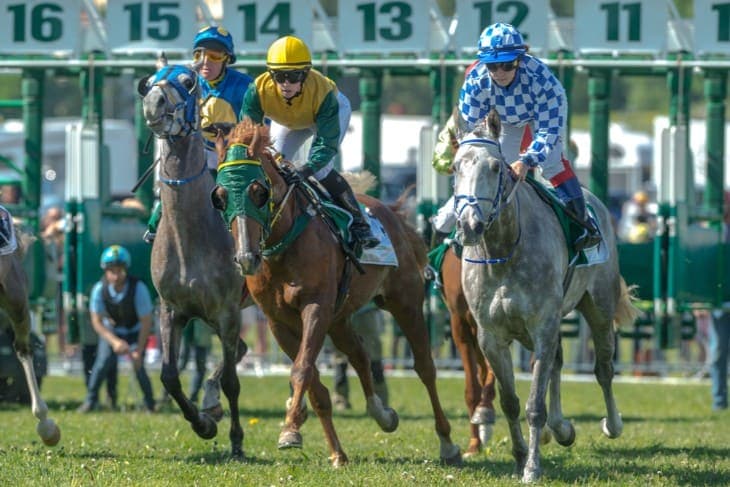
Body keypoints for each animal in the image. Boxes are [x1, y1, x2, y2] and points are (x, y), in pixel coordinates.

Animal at [137, 56, 247, 458]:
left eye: (187, 81)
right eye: (149, 81)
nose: (154, 103)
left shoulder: (227, 311)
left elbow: (232, 381)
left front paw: (235, 439)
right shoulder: (171, 310)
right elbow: (169, 376)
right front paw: (203, 423)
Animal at [211, 119, 462, 467]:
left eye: (259, 192)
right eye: (220, 196)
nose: (247, 257)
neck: (284, 245)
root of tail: (392, 212)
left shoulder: (316, 308)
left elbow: (302, 369)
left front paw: (290, 428)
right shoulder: (278, 322)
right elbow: (315, 384)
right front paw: (334, 451)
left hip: (405, 302)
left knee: (425, 367)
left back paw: (448, 443)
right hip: (340, 319)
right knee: (360, 354)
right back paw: (382, 413)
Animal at [452, 110, 640, 483]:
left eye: (494, 167)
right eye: (455, 167)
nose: (469, 224)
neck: (503, 252)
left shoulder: (542, 326)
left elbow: (534, 406)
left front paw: (532, 467)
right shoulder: (491, 336)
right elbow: (510, 401)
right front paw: (519, 457)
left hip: (598, 307)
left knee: (603, 369)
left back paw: (612, 424)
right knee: (558, 361)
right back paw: (561, 428)